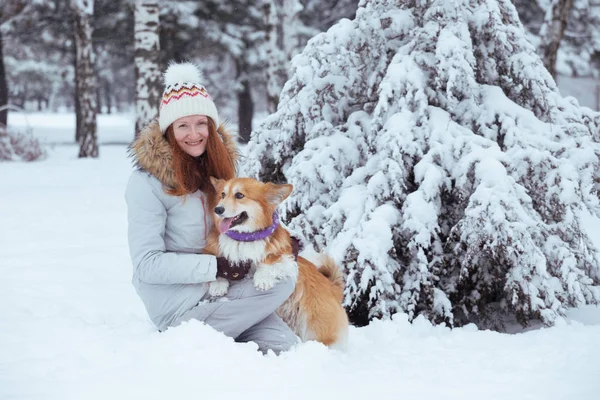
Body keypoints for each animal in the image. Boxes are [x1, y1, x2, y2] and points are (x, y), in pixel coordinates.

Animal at [204, 177, 350, 348]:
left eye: (239, 195)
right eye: (222, 194)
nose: (218, 210)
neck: (244, 239)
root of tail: (334, 288)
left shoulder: (286, 255)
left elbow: (270, 260)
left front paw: (262, 279)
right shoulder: (211, 252)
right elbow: (217, 263)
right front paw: (218, 285)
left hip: (316, 329)